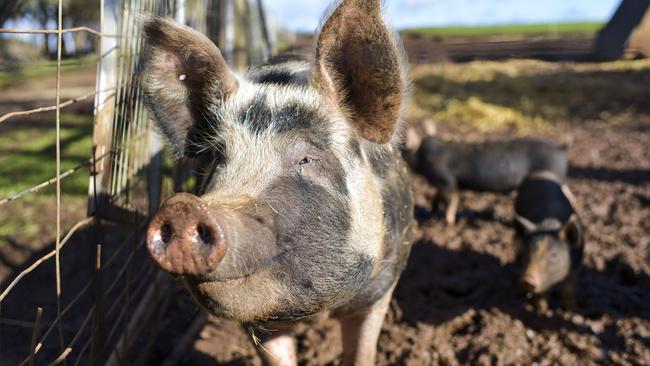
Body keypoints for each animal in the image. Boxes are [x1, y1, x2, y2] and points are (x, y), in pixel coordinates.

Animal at [412, 136, 564, 224]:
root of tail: (559, 149)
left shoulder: (447, 181)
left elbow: (451, 202)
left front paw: (449, 223)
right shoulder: (440, 183)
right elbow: (436, 197)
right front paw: (430, 213)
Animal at [512, 171, 584, 312]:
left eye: (553, 255)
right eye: (526, 253)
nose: (527, 279)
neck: (549, 225)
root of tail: (541, 172)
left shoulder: (576, 266)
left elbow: (568, 290)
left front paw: (571, 311)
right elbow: (542, 294)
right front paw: (542, 312)